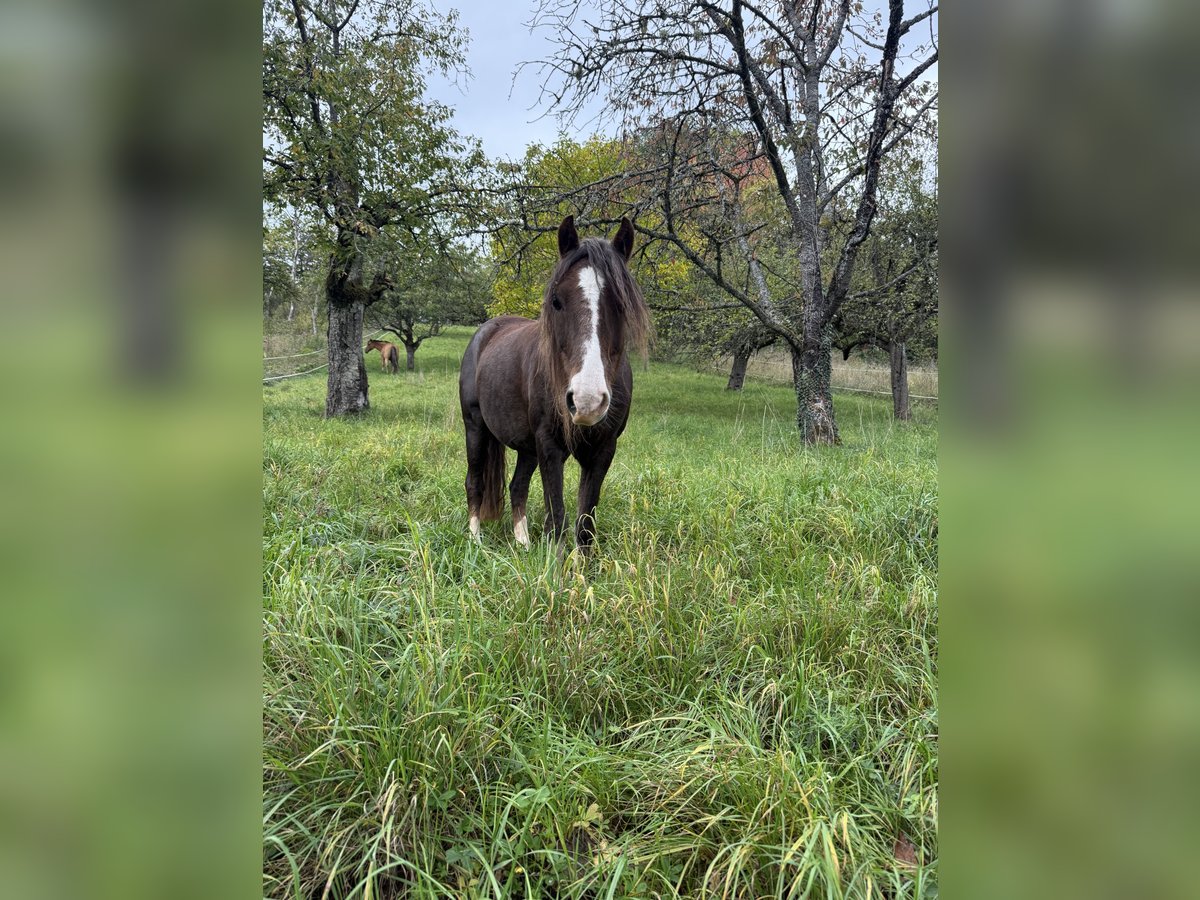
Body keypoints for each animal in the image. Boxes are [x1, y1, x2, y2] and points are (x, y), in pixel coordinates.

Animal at [459, 215, 650, 553]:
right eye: (556, 301)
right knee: (475, 482)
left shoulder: (602, 451)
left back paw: (522, 544)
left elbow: (584, 525)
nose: (587, 400)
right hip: (476, 427)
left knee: (517, 486)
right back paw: (475, 540)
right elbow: (557, 520)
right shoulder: (549, 447)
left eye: (622, 304)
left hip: (526, 446)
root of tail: (487, 330)